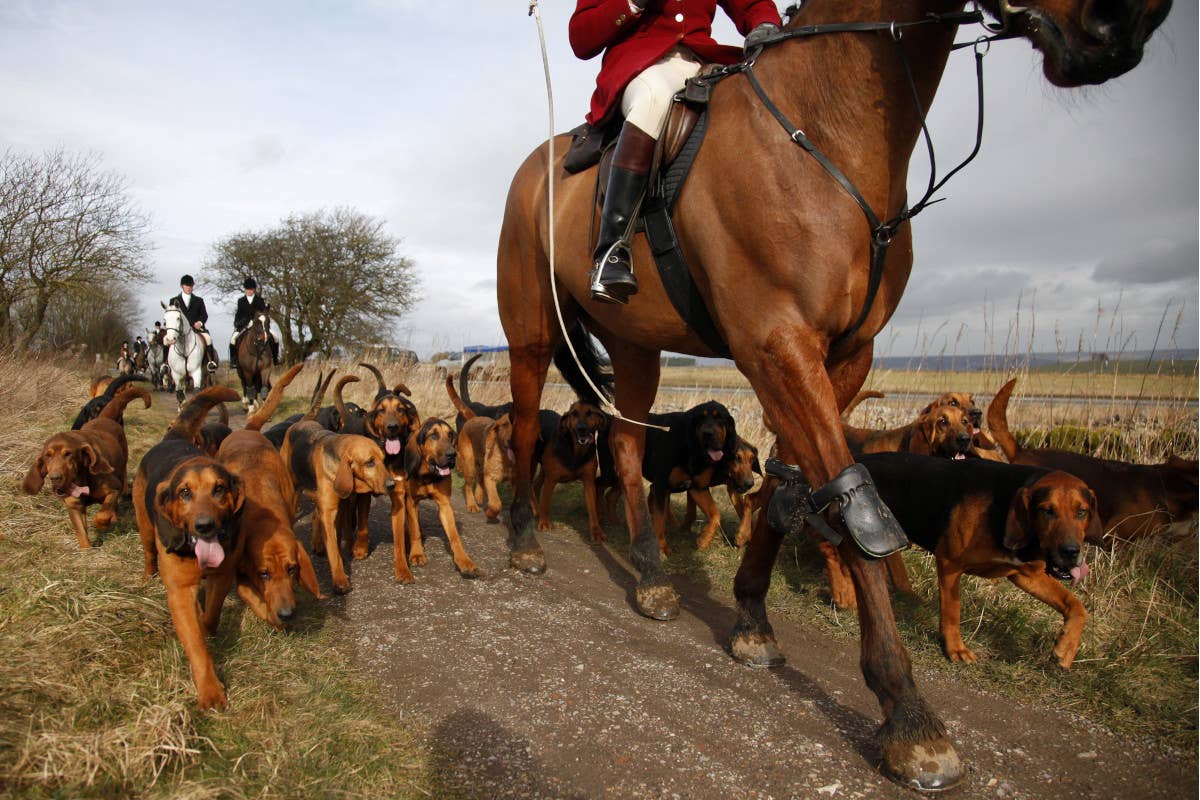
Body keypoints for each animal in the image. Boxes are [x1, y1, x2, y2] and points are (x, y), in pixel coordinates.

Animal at [492, 0, 1166, 786]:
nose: (1125, 24)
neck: (826, 124)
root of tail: (535, 163)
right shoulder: (778, 344)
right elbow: (858, 502)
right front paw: (909, 714)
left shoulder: (842, 355)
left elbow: (794, 485)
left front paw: (751, 619)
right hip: (531, 332)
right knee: (530, 425)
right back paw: (525, 542)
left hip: (635, 344)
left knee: (628, 447)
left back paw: (654, 576)